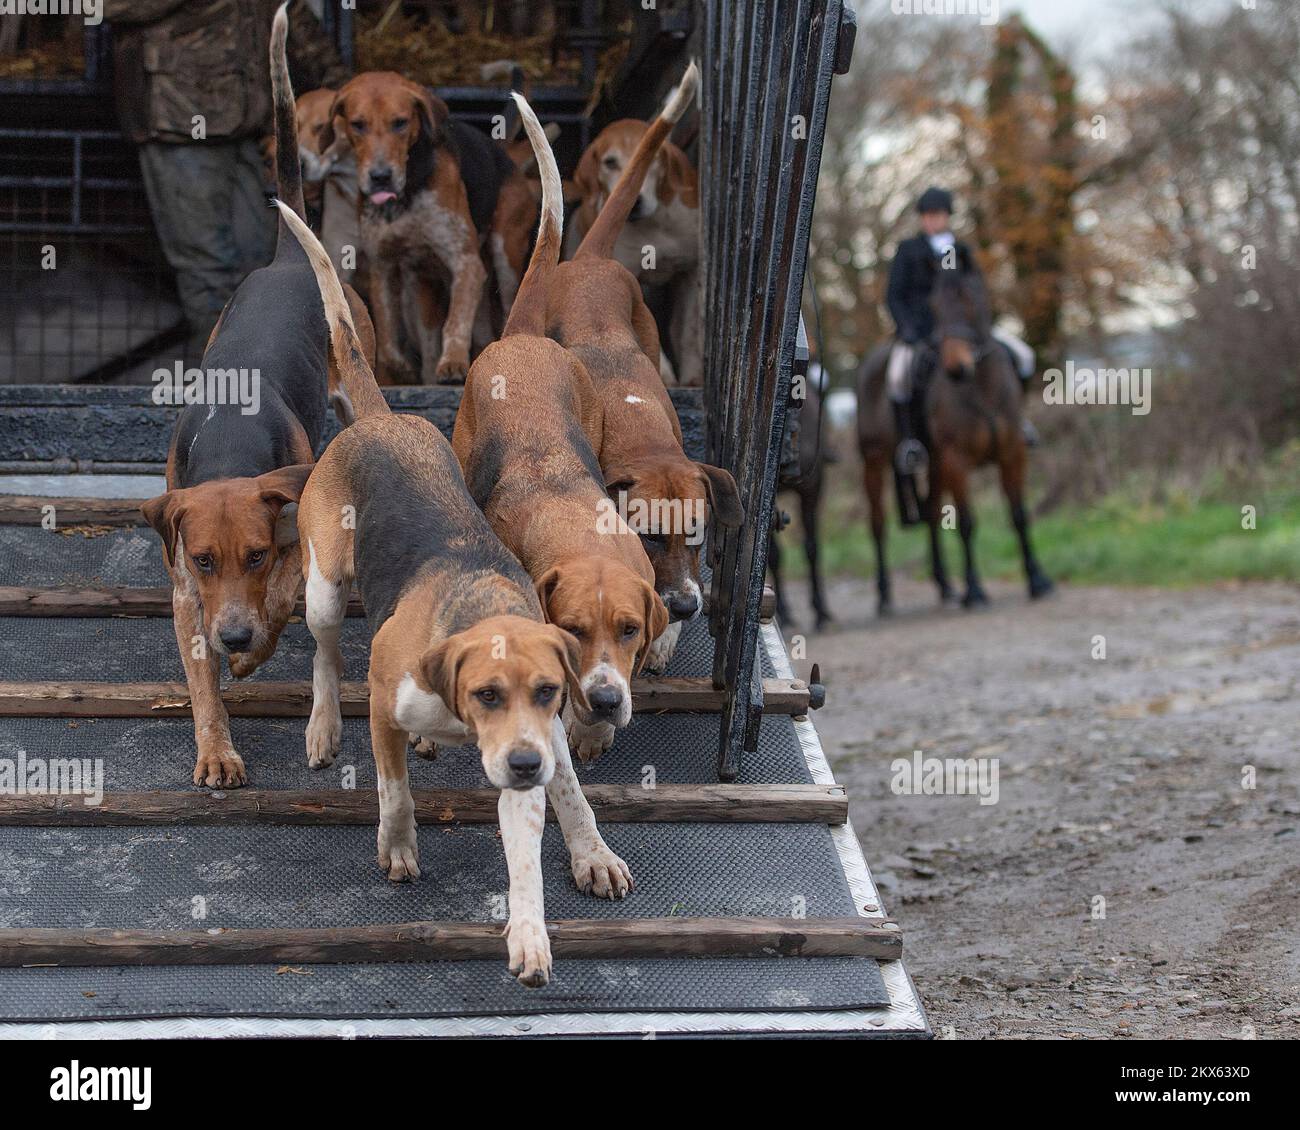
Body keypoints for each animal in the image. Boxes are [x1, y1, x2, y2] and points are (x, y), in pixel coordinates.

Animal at [852, 263, 1055, 613]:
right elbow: (968, 522)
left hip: (934, 464)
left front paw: (1037, 580)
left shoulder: (1012, 453)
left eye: (970, 299)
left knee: (933, 514)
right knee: (877, 524)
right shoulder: (956, 459)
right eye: (934, 306)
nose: (956, 368)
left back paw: (945, 586)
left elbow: (1018, 515)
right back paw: (884, 596)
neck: (981, 385)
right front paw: (974, 590)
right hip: (875, 461)